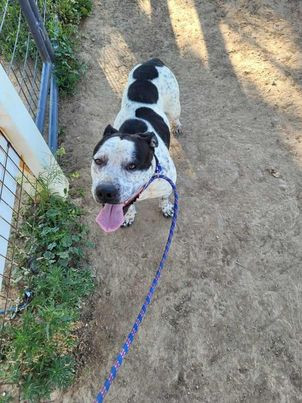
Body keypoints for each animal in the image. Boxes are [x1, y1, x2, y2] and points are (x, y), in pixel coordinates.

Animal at [91, 58, 182, 232]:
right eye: (98, 161)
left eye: (132, 166)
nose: (105, 192)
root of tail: (153, 61)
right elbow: (129, 207)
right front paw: (128, 216)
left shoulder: (168, 184)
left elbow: (164, 197)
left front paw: (166, 207)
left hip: (175, 105)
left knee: (175, 116)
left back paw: (177, 126)